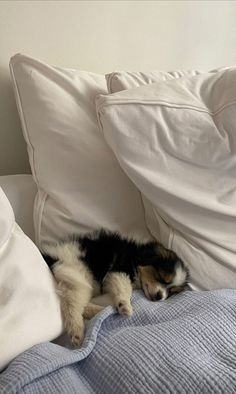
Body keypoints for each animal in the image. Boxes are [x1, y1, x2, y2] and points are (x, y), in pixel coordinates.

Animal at [42, 229, 188, 346]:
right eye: (160, 276)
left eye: (171, 292)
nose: (160, 296)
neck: (135, 256)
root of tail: (49, 258)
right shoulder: (120, 270)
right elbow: (125, 289)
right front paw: (125, 306)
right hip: (77, 275)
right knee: (72, 304)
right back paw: (77, 331)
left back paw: (99, 312)